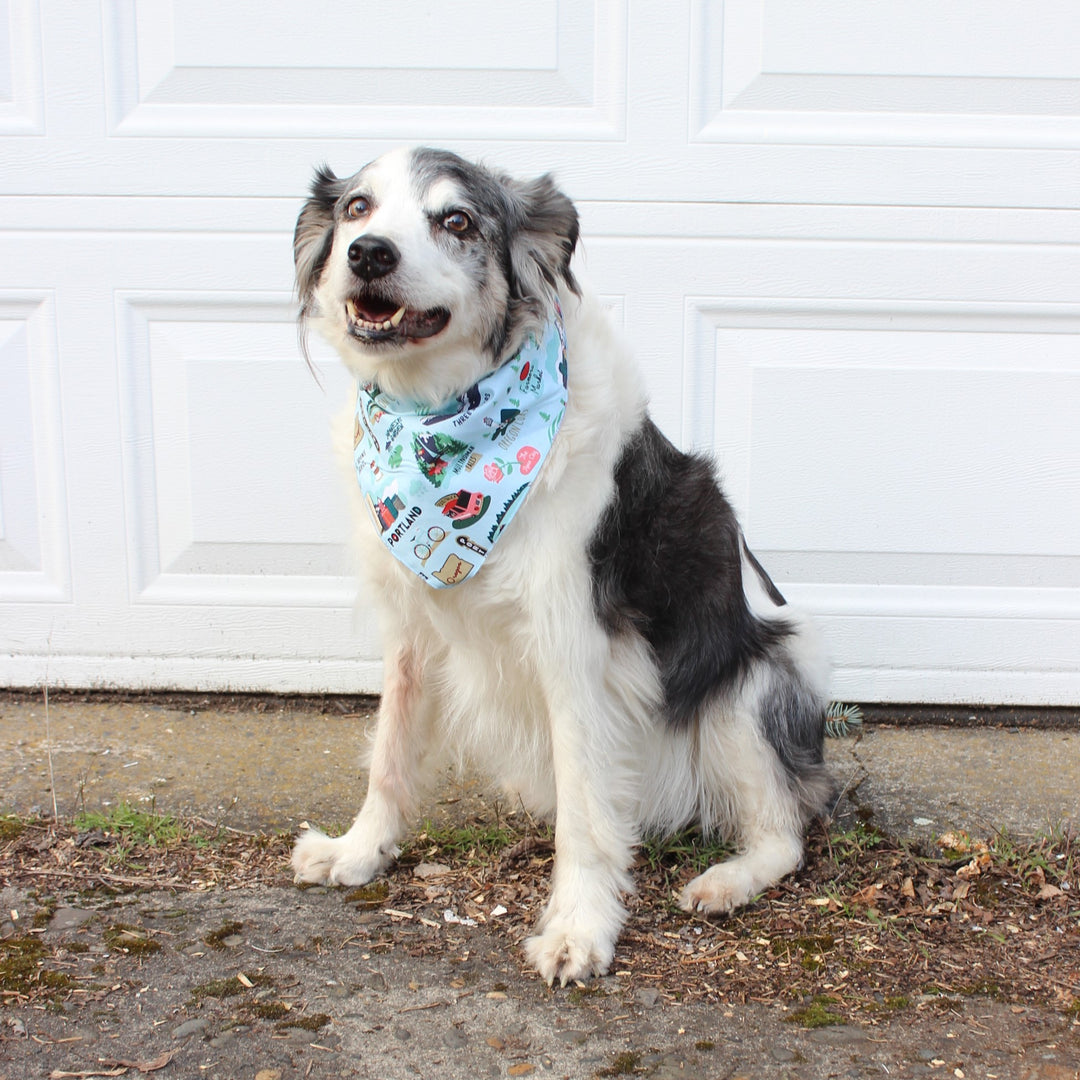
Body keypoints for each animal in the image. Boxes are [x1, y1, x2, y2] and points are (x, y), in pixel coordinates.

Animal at [289, 150, 833, 989]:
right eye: (357, 207)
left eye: (456, 220)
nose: (369, 254)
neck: (445, 415)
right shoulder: (412, 630)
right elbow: (390, 754)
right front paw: (358, 852)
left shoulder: (575, 645)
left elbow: (584, 813)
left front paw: (579, 929)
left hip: (747, 686)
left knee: (786, 829)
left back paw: (724, 881)